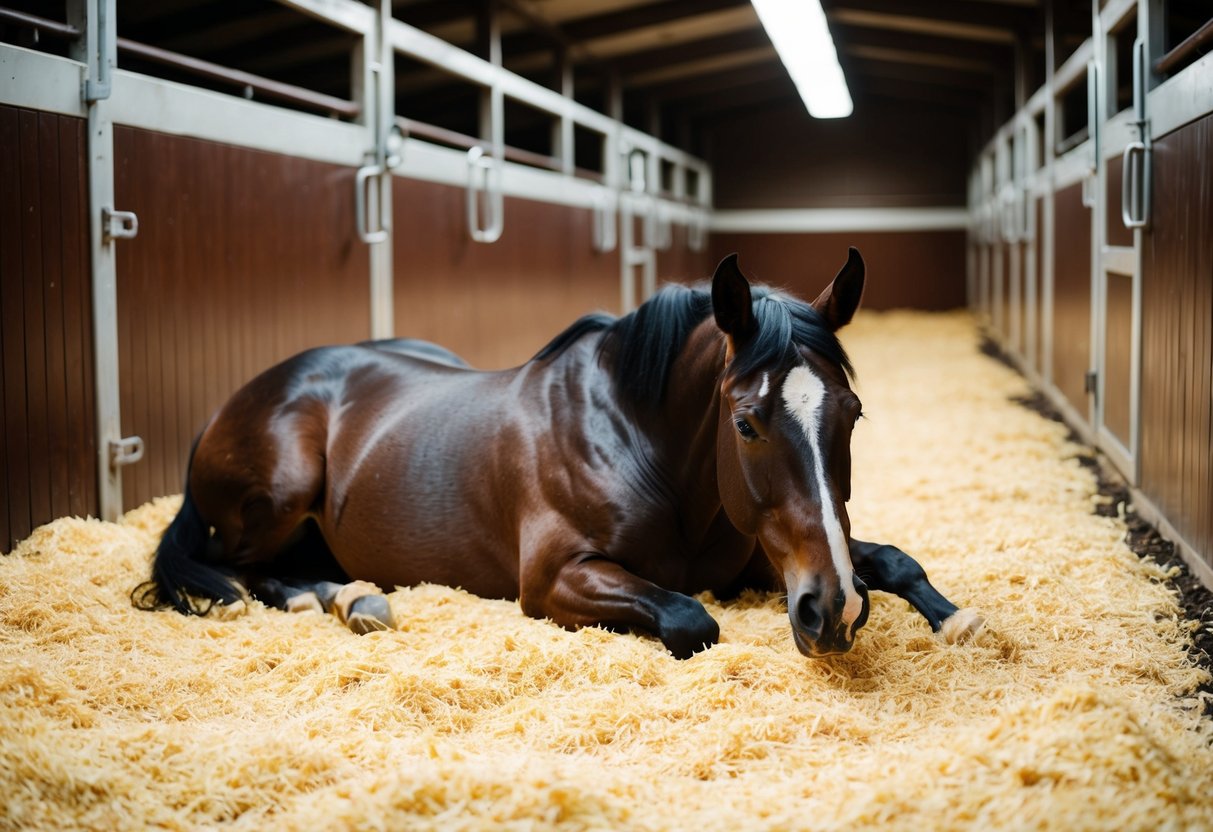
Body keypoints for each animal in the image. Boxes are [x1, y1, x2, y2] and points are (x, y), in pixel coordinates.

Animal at [135, 251, 984, 659]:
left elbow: (892, 558)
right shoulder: (552, 580)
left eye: (853, 413)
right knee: (240, 570)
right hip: (279, 494)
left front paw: (955, 619)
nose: (830, 612)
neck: (640, 444)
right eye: (745, 423)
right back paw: (350, 600)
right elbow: (690, 619)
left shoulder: (762, 551)